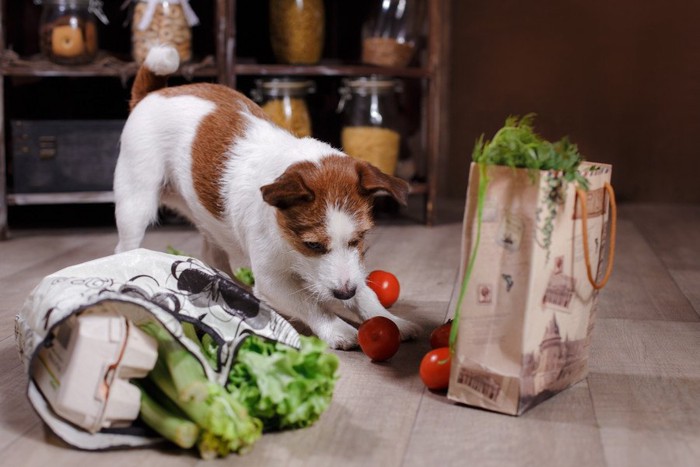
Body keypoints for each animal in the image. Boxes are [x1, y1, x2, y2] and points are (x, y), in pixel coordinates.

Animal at [115, 45, 422, 350]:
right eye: (312, 245)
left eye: (359, 239)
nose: (344, 294)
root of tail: (153, 94)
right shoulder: (271, 281)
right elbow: (310, 303)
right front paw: (338, 329)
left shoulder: (351, 270)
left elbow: (365, 292)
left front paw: (389, 319)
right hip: (136, 203)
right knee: (125, 246)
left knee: (212, 253)